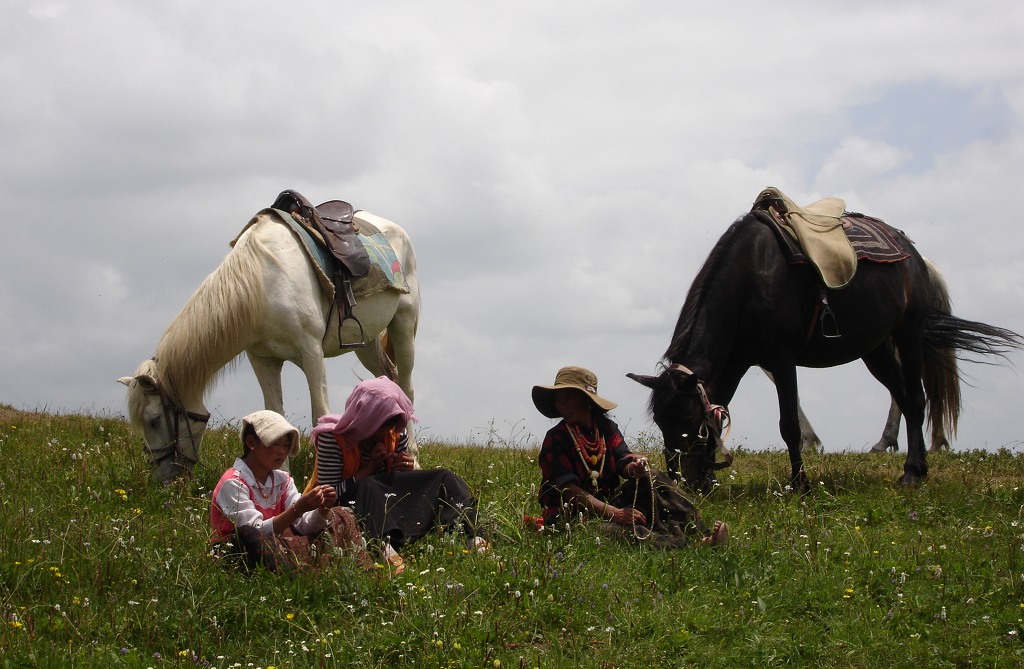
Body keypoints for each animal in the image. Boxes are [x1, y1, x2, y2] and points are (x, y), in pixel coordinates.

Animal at [120, 203, 419, 479]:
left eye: (154, 420)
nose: (164, 477)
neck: (262, 284)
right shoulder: (263, 360)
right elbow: (275, 416)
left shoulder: (311, 353)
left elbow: (320, 416)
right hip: (366, 341)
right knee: (388, 382)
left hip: (403, 325)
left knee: (406, 388)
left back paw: (413, 459)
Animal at [626, 200, 1019, 487]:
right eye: (660, 421)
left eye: (685, 417)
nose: (680, 482)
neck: (750, 277)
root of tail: (914, 254)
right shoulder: (737, 360)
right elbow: (719, 408)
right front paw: (709, 474)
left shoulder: (781, 358)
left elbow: (788, 423)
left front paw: (799, 482)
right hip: (875, 351)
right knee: (906, 398)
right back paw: (912, 462)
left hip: (907, 335)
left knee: (916, 398)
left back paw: (911, 470)